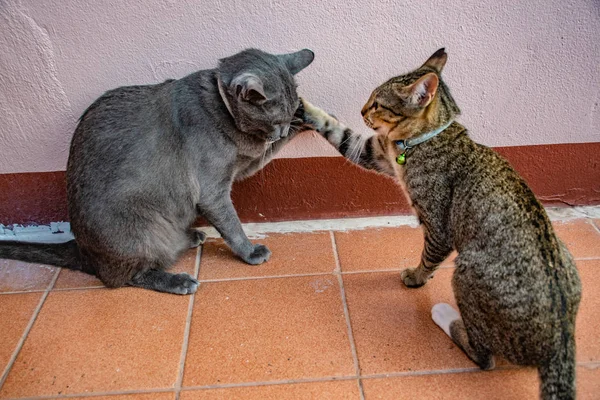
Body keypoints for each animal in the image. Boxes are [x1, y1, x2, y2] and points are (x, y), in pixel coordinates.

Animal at [0, 48, 316, 296]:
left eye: (287, 116)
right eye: (275, 120)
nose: (283, 129)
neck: (223, 113)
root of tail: (82, 250)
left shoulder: (241, 167)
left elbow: (262, 157)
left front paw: (308, 119)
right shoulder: (212, 189)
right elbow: (231, 225)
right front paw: (250, 252)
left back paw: (191, 237)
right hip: (139, 231)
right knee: (124, 277)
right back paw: (178, 281)